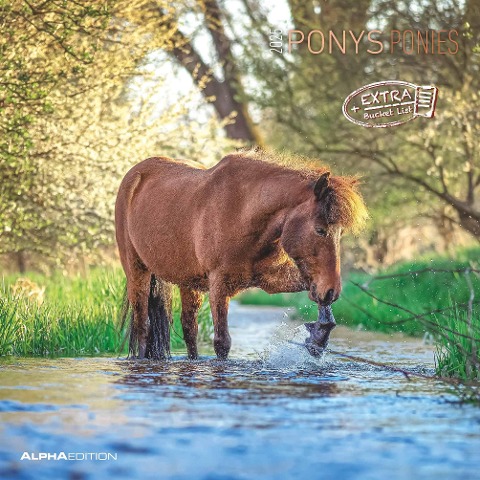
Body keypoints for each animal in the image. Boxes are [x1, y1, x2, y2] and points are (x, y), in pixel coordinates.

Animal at [116, 150, 368, 360]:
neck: (243, 211)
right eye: (320, 229)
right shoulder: (219, 285)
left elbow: (313, 292)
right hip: (137, 272)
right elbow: (222, 342)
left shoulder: (271, 279)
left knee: (189, 329)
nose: (332, 291)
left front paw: (318, 337)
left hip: (188, 282)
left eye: (340, 232)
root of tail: (135, 175)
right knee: (143, 326)